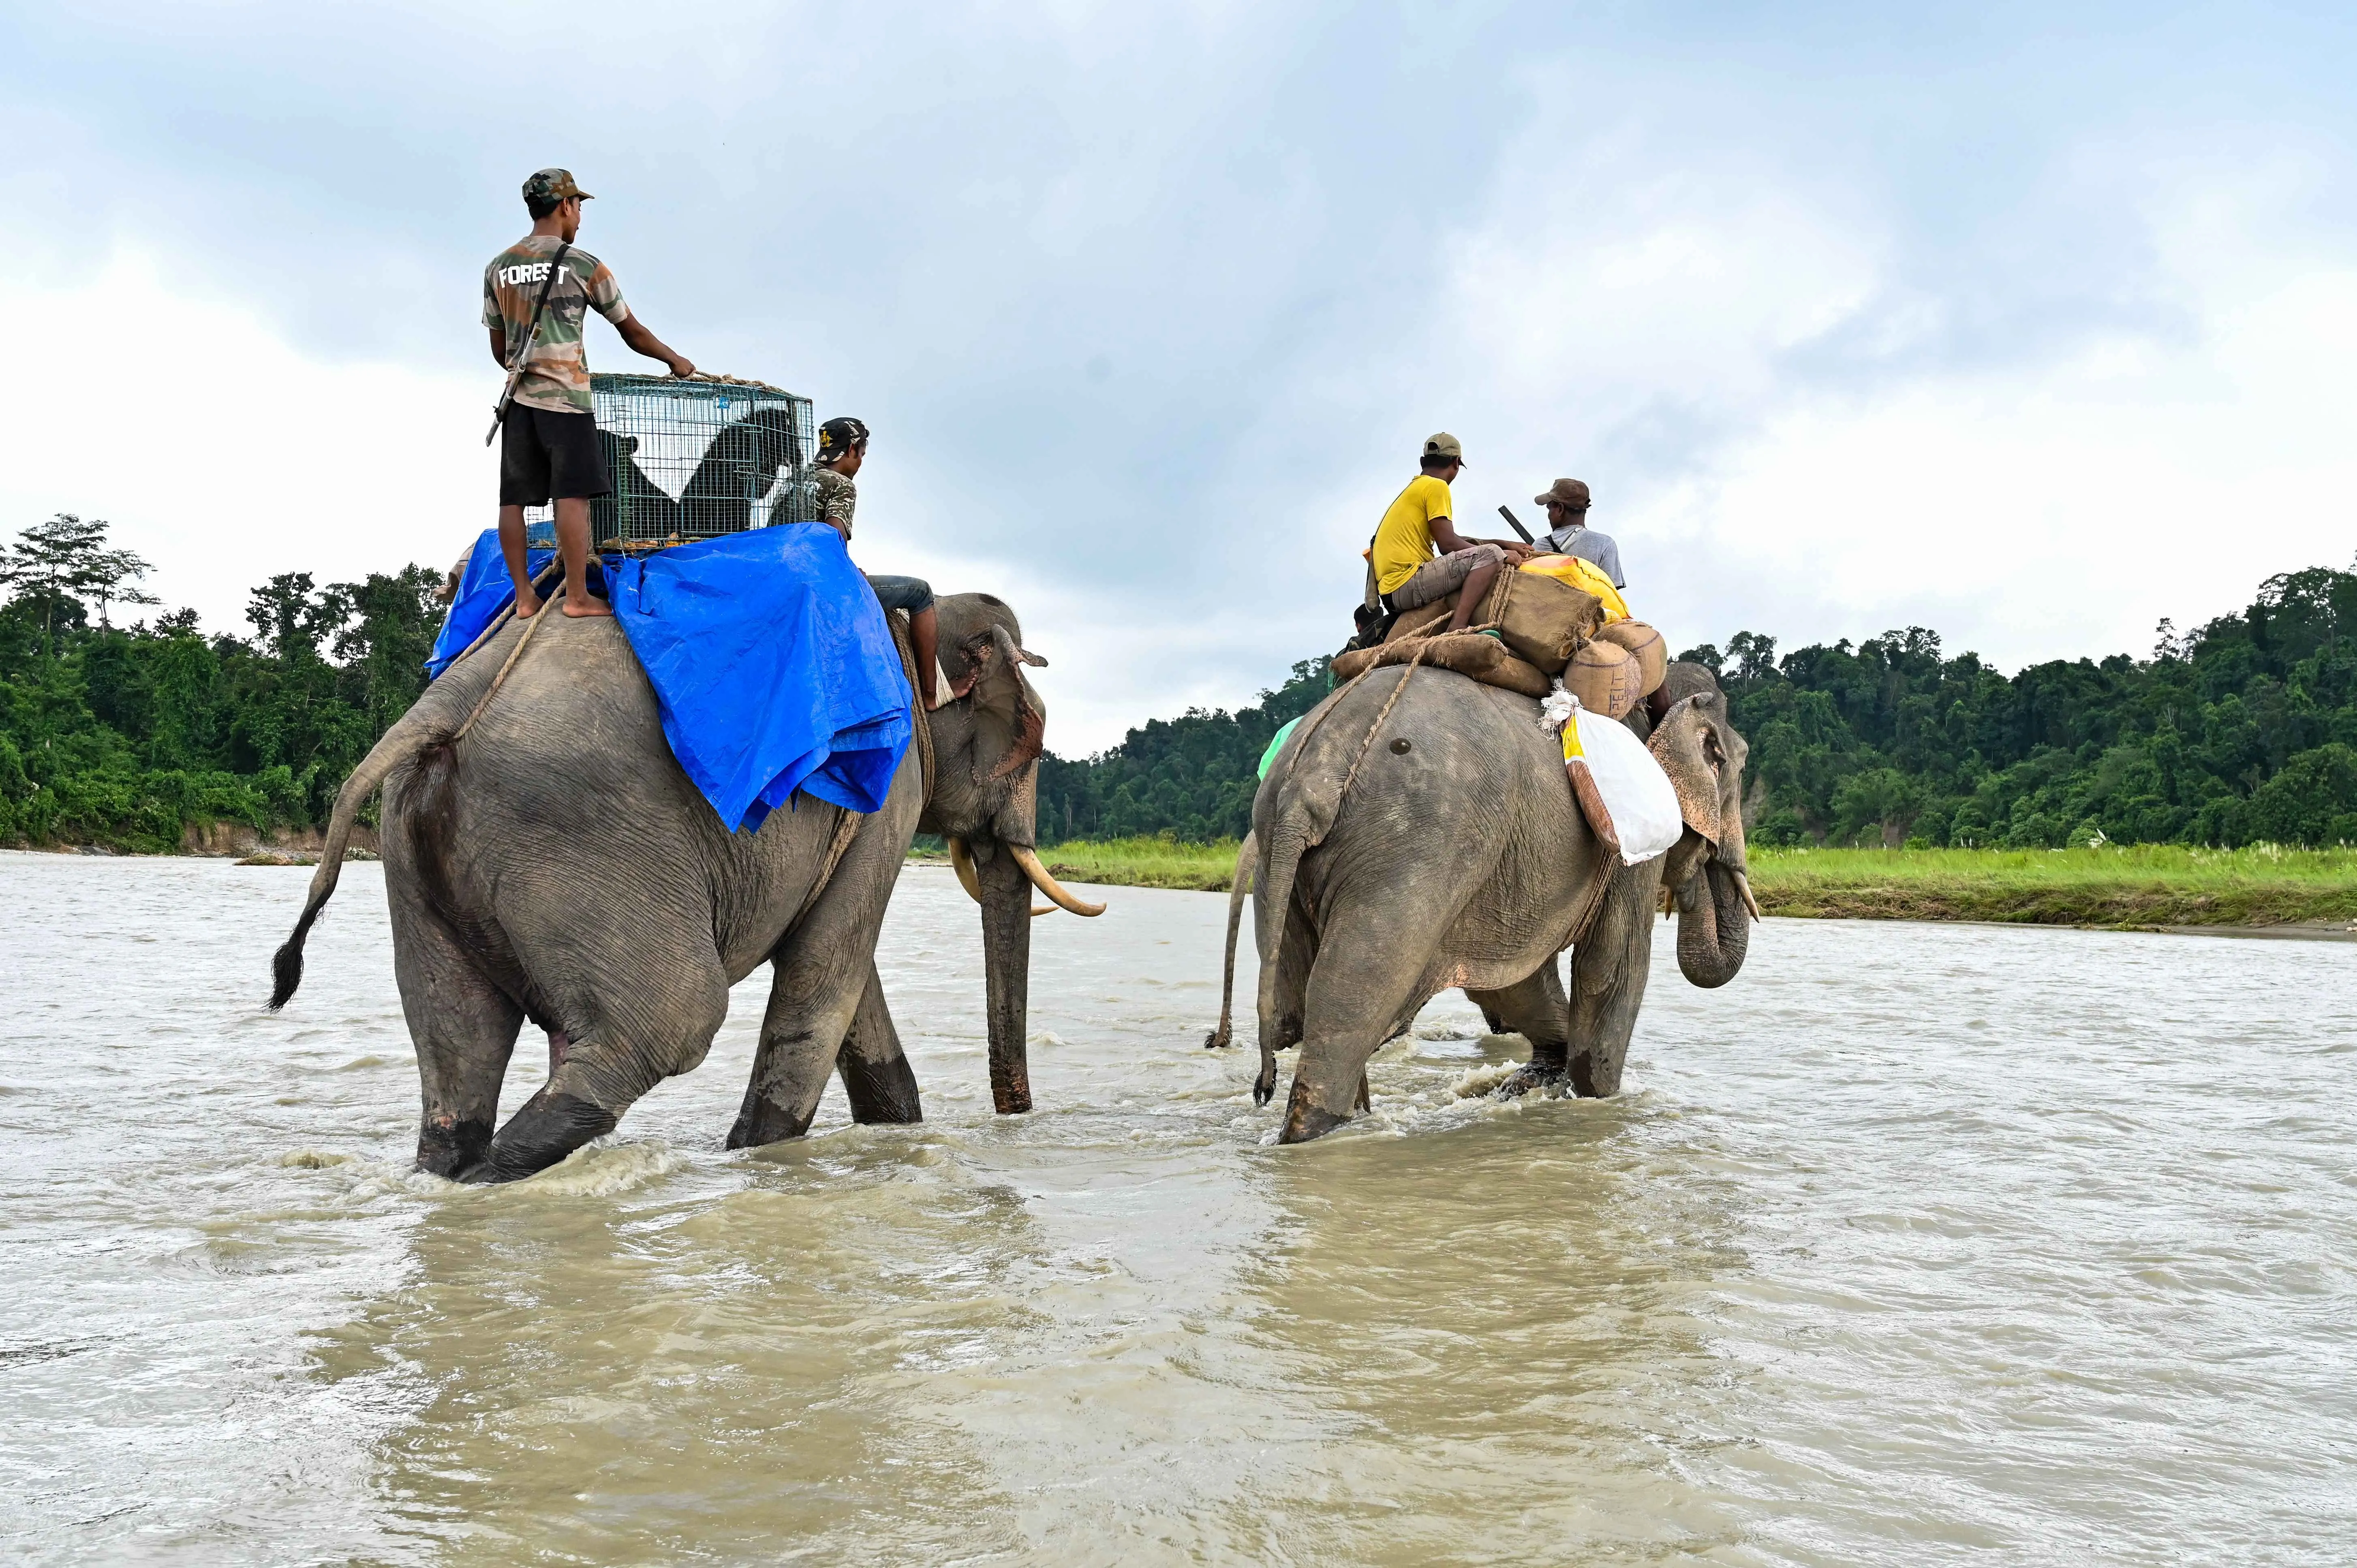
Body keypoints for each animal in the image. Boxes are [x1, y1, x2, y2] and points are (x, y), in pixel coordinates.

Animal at [266, 589, 1103, 1183]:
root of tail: (442, 705)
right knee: (672, 1021)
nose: (1016, 1124)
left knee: (459, 1046)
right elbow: (827, 969)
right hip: (580, 838)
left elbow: (841, 973)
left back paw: (456, 1172)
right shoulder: (887, 787)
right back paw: (499, 1175)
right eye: (1032, 744)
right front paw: (755, 1160)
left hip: (420, 851)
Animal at [1225, 659, 1755, 1142]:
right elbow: (1610, 967)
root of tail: (1311, 777)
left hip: (1277, 861)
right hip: (1414, 848)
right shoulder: (1630, 834)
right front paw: (1596, 1100)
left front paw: (1537, 1080)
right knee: (1352, 997)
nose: (1695, 881)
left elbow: (1510, 981)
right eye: (1738, 763)